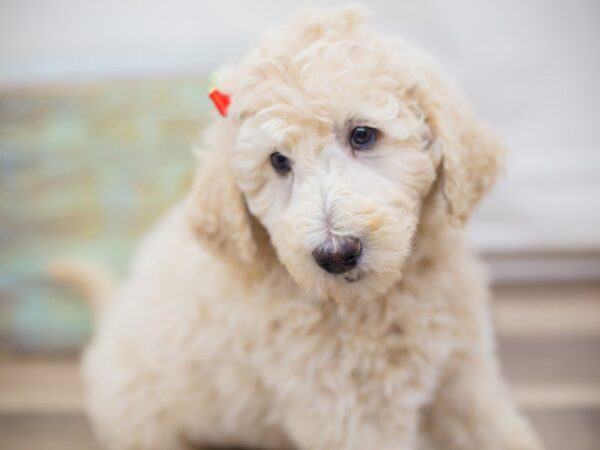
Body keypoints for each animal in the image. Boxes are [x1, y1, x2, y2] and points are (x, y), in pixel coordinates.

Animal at [64, 4, 544, 450]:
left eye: (363, 135)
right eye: (279, 161)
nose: (337, 254)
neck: (378, 302)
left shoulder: (465, 378)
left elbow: (500, 432)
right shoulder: (348, 416)